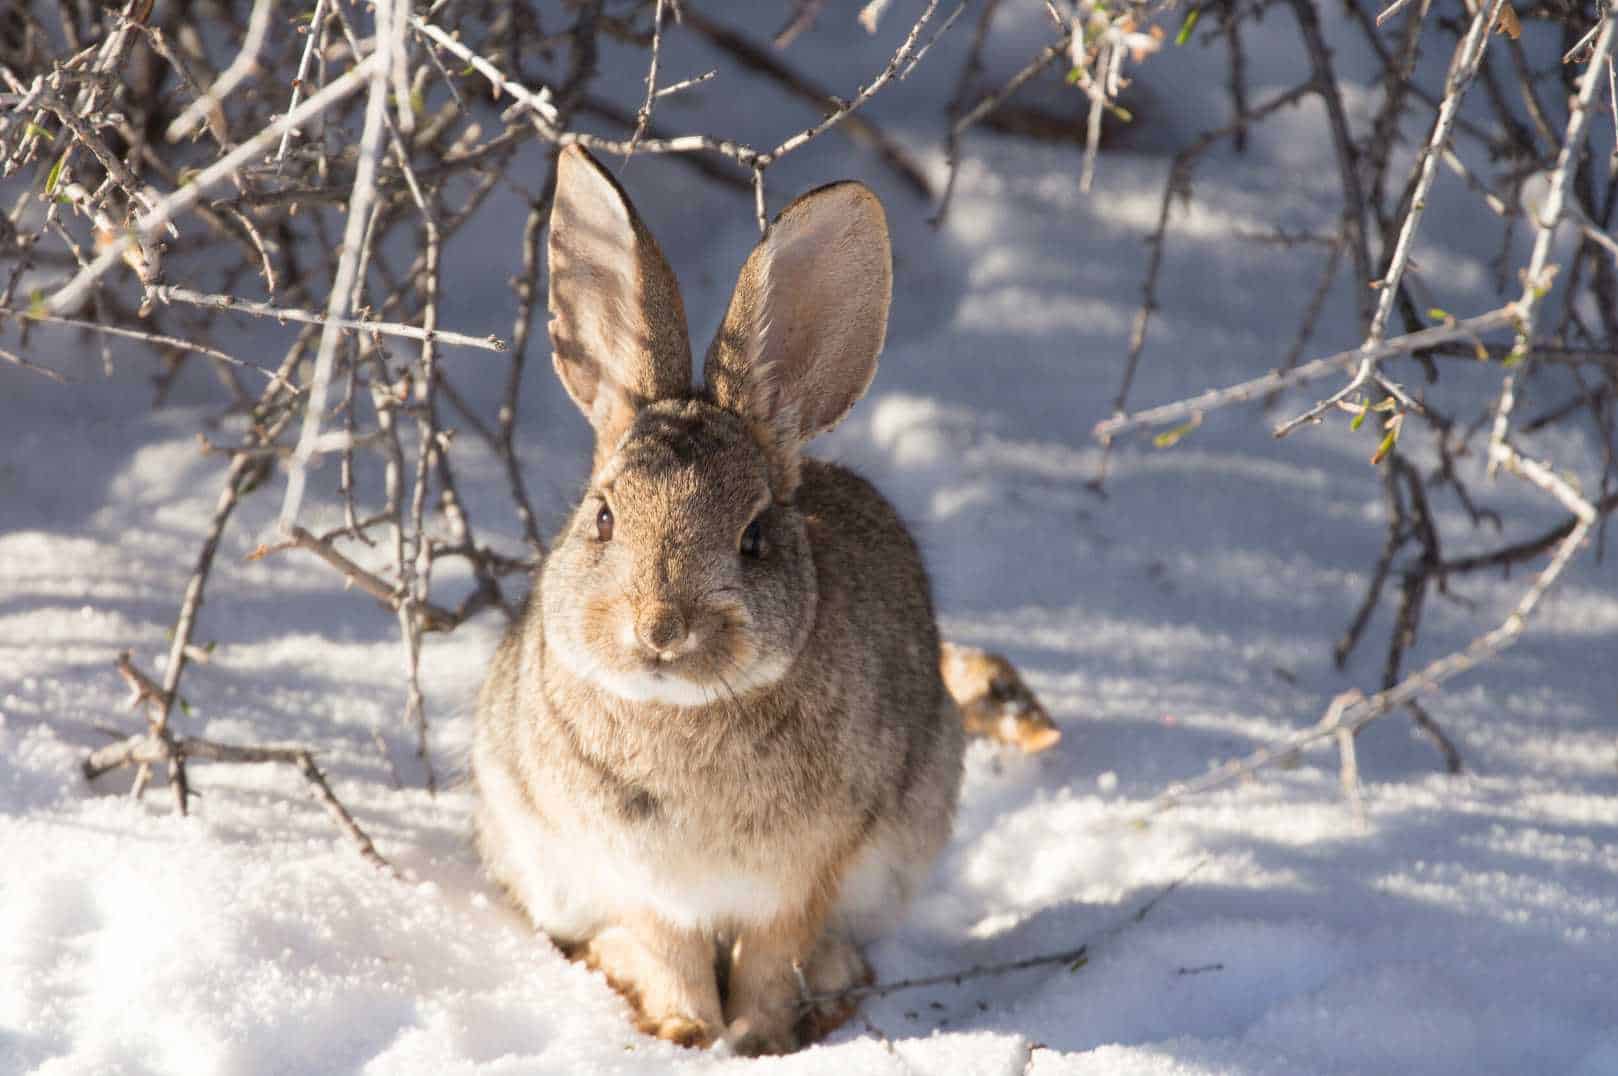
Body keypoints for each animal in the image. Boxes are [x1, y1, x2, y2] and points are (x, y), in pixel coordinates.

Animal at [472, 147, 964, 1054]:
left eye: (754, 537)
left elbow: (775, 954)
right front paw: (685, 1034)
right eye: (603, 517)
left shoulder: (802, 878)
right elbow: (669, 949)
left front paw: (762, 1042)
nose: (660, 629)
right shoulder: (640, 879)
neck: (681, 712)